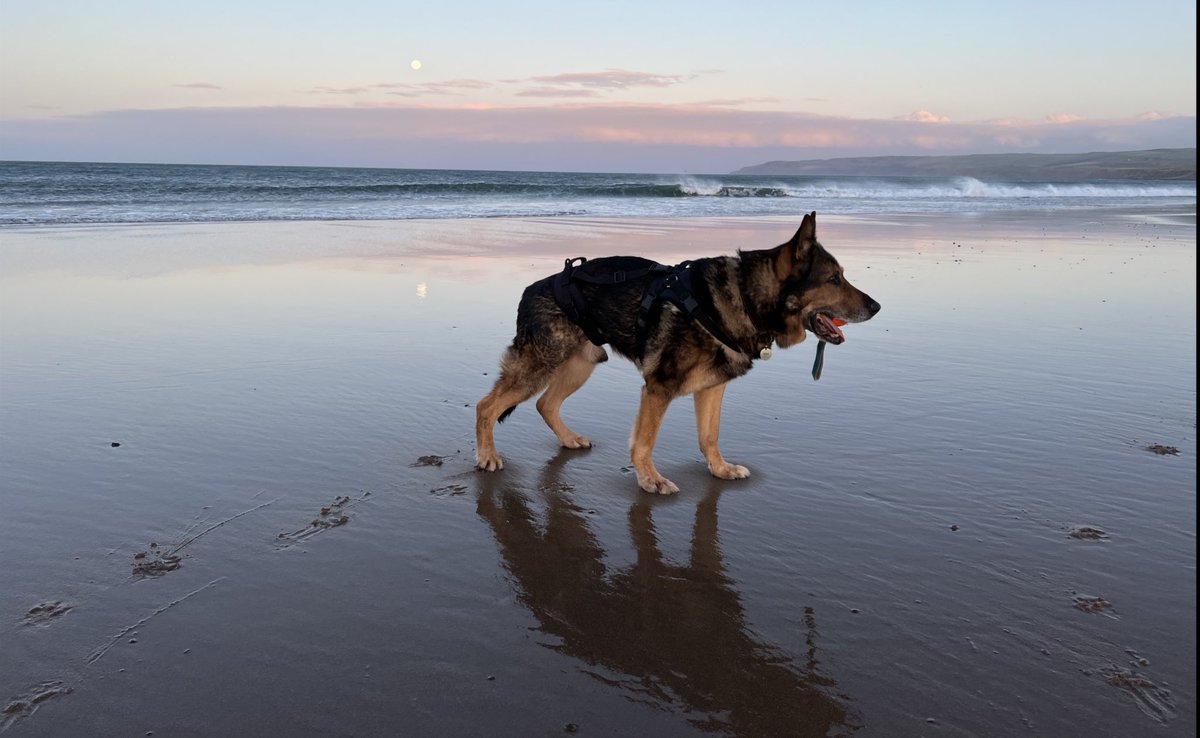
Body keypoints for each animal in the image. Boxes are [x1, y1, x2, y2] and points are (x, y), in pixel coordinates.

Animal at [477, 211, 883, 494]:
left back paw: (567, 438)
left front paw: (719, 469)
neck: (745, 296)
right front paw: (650, 480)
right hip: (542, 365)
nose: (877, 307)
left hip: (582, 363)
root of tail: (532, 289)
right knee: (487, 405)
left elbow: (709, 436)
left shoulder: (712, 388)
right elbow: (645, 441)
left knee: (545, 403)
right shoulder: (659, 388)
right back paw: (487, 456)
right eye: (834, 279)